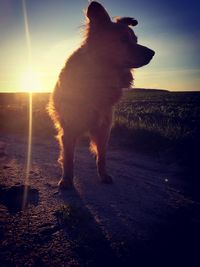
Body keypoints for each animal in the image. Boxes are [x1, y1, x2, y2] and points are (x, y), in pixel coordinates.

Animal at [47, 1, 155, 189]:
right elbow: (68, 158)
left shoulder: (104, 128)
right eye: (123, 40)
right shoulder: (69, 129)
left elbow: (102, 156)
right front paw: (67, 180)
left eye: (136, 40)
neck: (98, 78)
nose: (153, 53)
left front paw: (103, 175)